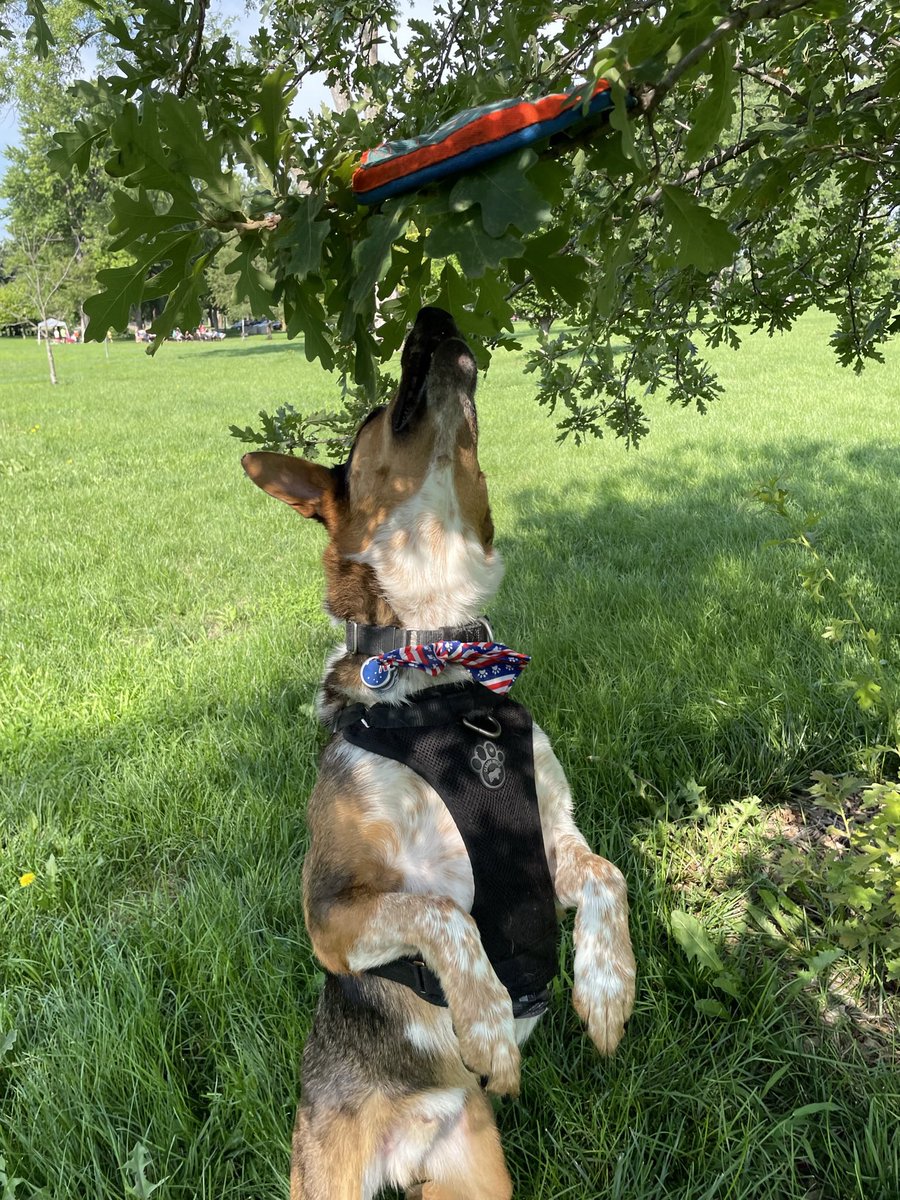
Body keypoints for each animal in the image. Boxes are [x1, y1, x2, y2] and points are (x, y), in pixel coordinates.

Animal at [243, 309, 638, 1200]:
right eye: (373, 417)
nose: (434, 315)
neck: (442, 678)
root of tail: (405, 1152)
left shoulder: (550, 843)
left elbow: (608, 875)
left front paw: (606, 992)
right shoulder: (331, 913)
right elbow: (444, 913)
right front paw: (488, 1026)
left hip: (476, 1176)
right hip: (326, 1175)